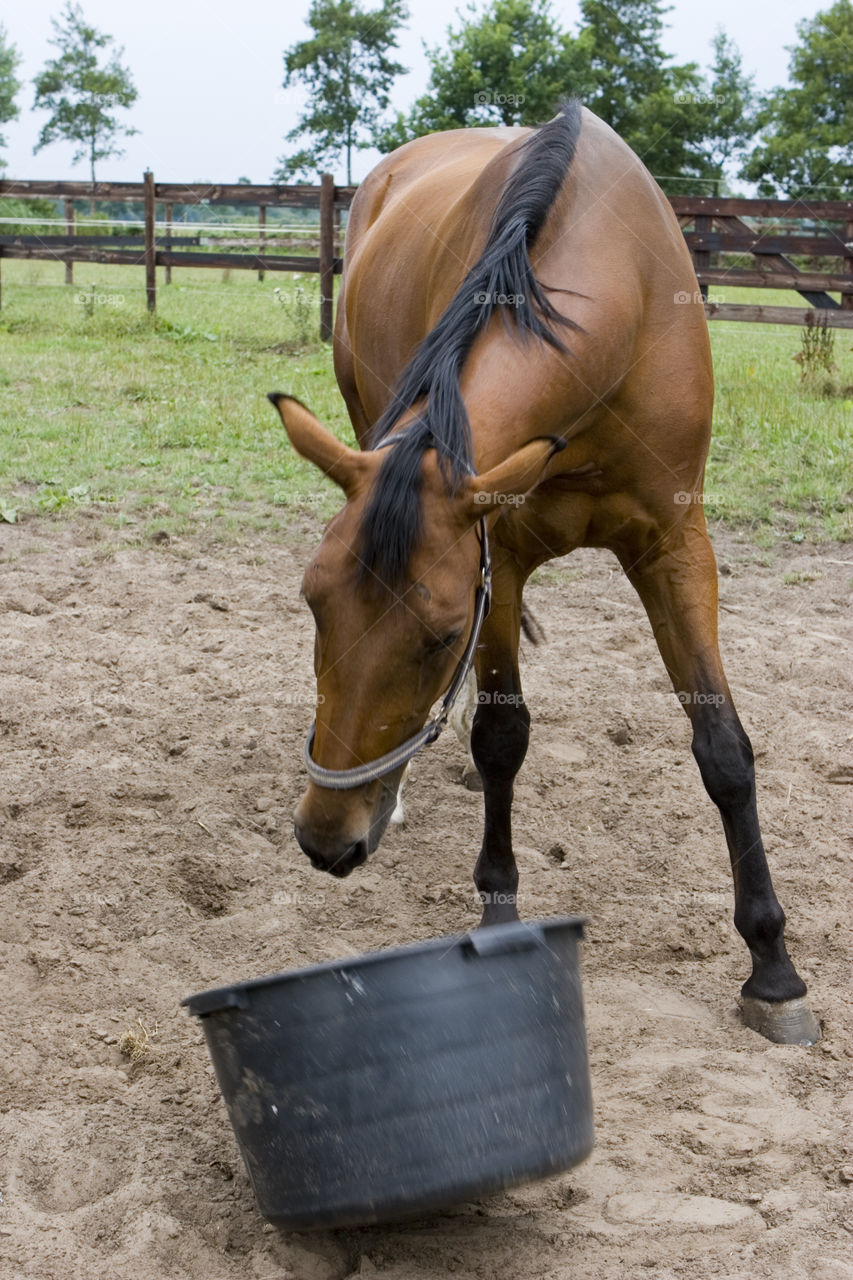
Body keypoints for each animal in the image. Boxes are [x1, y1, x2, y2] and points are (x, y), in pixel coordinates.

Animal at [270, 97, 819, 1039]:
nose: (323, 838)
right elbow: (501, 739)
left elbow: (723, 748)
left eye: (439, 635)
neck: (620, 297)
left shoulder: (675, 548)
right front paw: (498, 912)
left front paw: (773, 970)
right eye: (311, 606)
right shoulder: (504, 557)